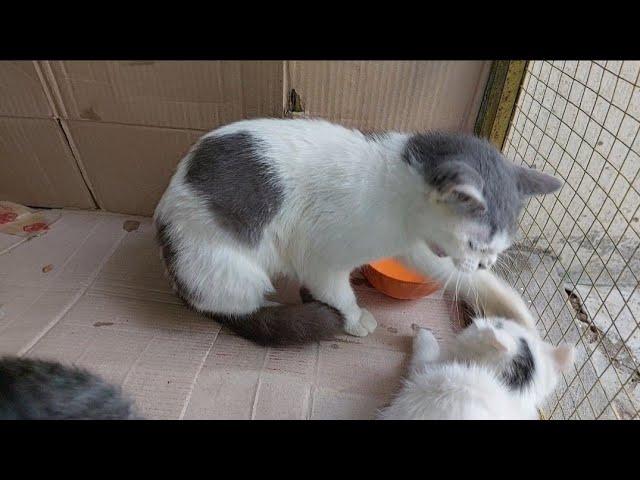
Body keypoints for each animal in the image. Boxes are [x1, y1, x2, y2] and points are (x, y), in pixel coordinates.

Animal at [154, 119, 560, 344]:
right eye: (476, 243)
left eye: (499, 249)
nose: (483, 264)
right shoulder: (321, 258)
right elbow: (338, 292)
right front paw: (353, 318)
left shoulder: (413, 246)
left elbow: (454, 276)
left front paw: (515, 312)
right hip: (229, 268)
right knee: (236, 307)